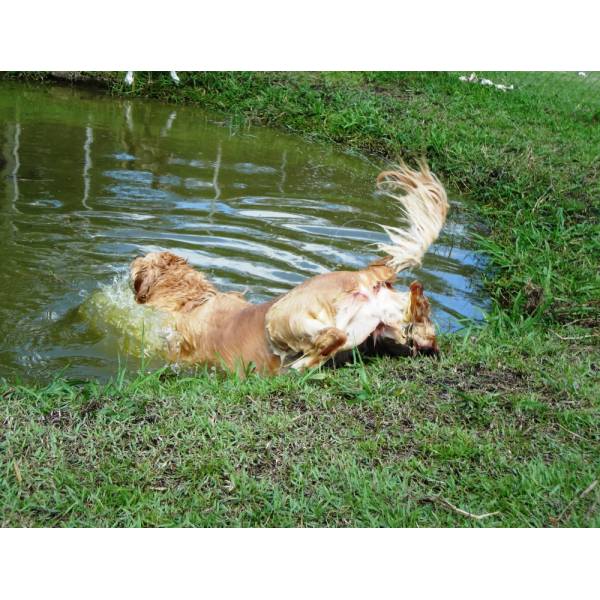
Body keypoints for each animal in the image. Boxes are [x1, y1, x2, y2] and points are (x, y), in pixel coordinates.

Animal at [131, 161, 450, 376]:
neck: (194, 301)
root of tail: (365, 275)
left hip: (281, 316)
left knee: (333, 337)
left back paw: (298, 366)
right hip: (390, 326)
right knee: (422, 326)